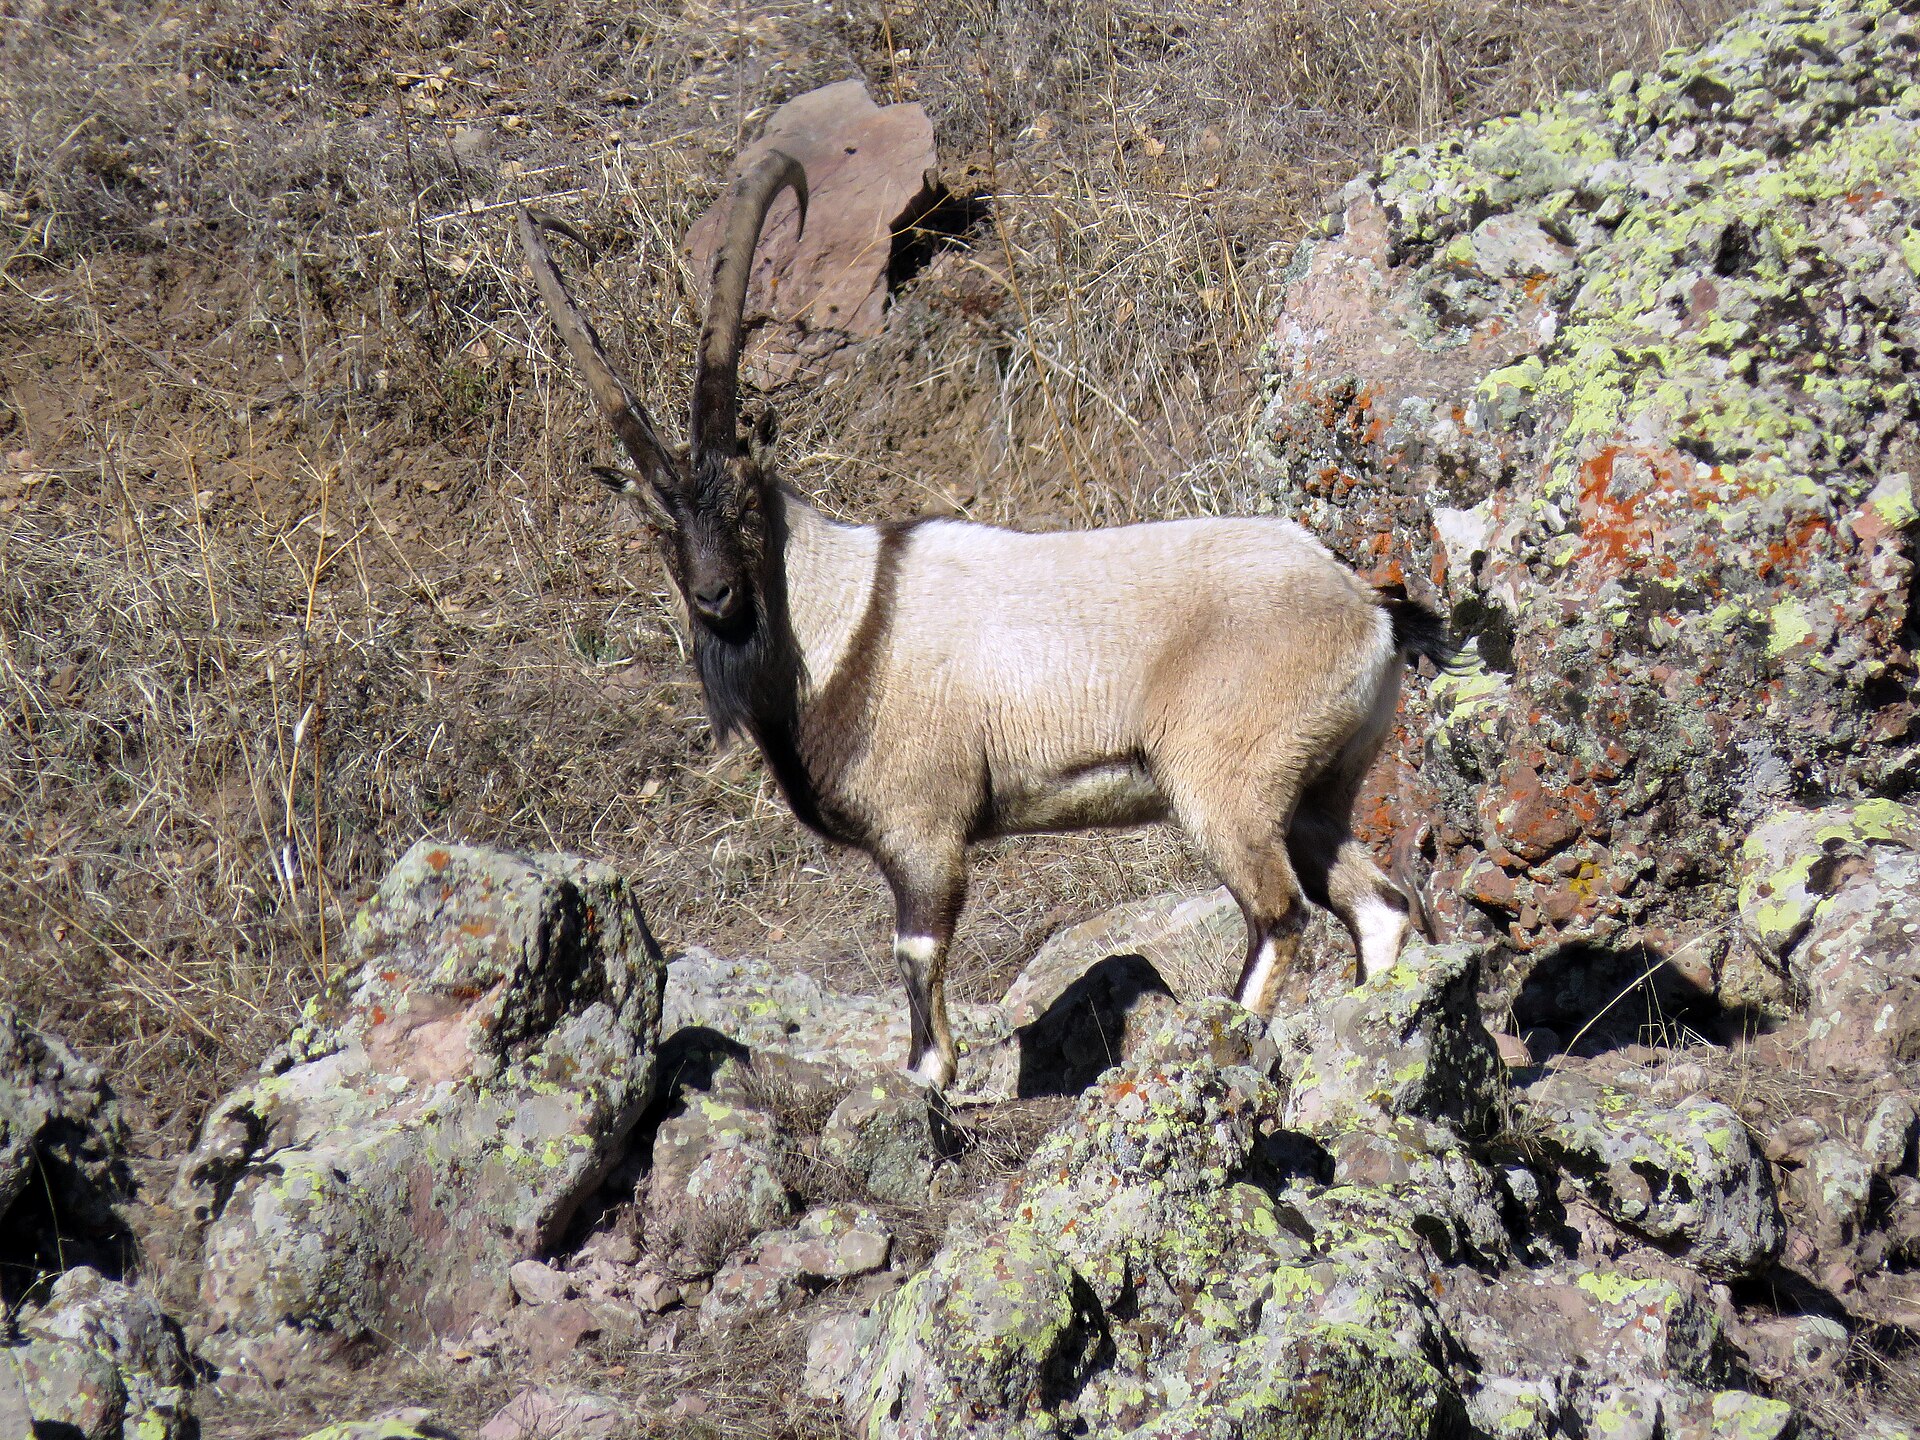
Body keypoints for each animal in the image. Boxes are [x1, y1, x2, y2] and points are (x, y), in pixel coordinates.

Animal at [518, 151, 1456, 1088]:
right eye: (659, 527)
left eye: (746, 503)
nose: (715, 597)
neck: (843, 622)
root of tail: (1367, 610)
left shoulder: (922, 829)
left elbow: (917, 953)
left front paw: (927, 1078)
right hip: (1320, 788)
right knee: (1376, 903)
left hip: (1225, 785)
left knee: (1280, 913)